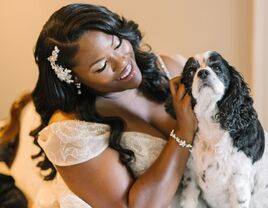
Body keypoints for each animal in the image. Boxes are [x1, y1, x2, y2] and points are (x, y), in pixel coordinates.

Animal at [165, 50, 268, 208]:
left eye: (217, 68)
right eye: (191, 71)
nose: (202, 72)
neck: (210, 125)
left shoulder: (239, 184)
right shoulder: (191, 176)